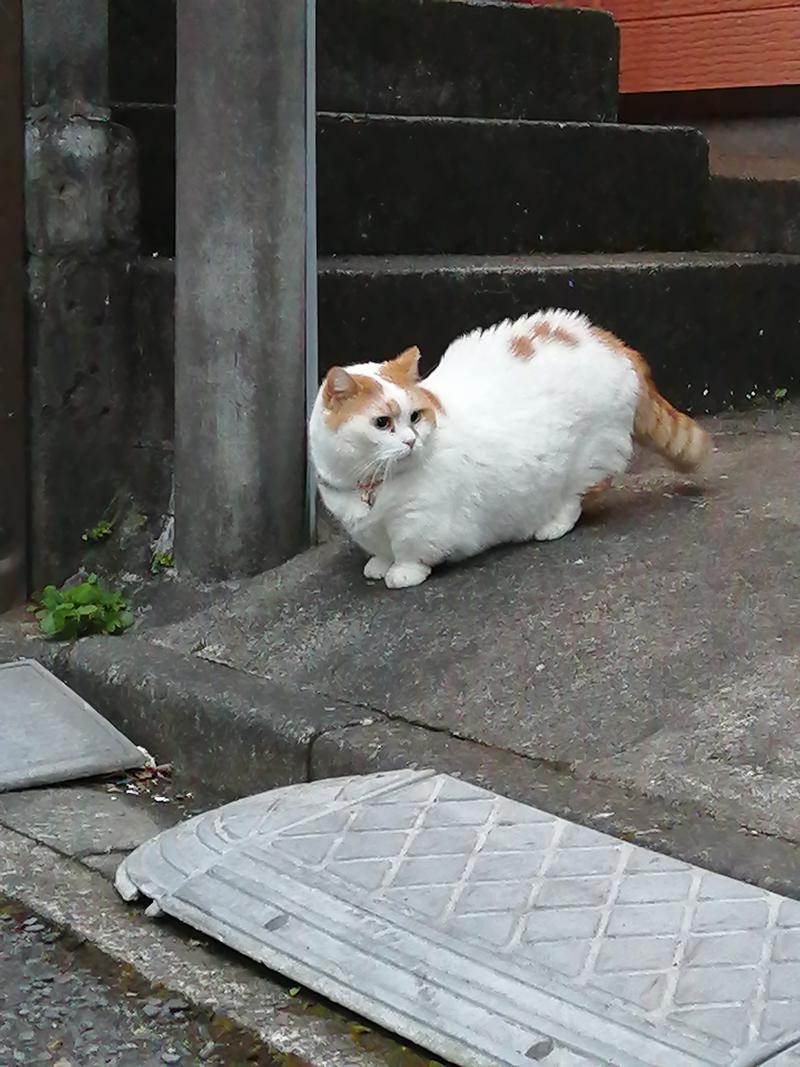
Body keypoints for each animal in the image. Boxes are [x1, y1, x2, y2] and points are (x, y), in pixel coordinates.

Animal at [309, 309, 712, 593]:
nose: (411, 441)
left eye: (415, 416)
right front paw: (380, 564)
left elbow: (410, 549)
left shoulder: (419, 522)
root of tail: (614, 343)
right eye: (382, 423)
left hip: (587, 458)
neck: (370, 485)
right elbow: (380, 548)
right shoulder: (367, 527)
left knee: (576, 498)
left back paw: (550, 524)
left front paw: (402, 572)